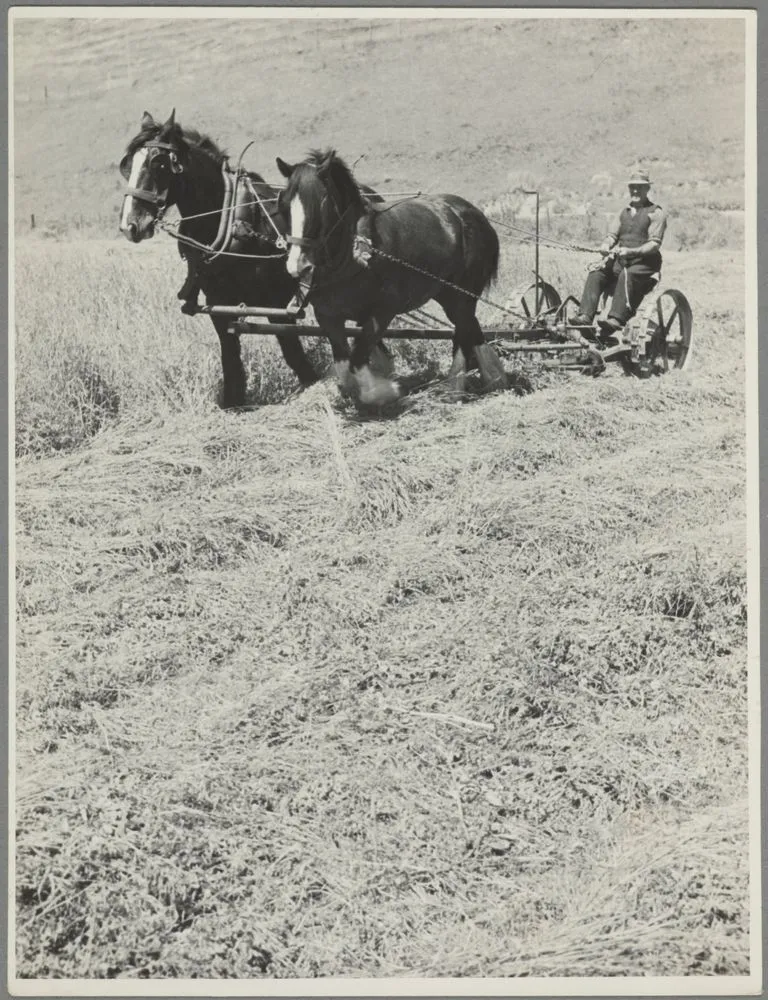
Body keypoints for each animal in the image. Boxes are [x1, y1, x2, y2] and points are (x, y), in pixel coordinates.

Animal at [118, 110, 319, 408]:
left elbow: (293, 352)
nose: (129, 225)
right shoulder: (218, 304)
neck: (233, 221)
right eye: (127, 166)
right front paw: (234, 401)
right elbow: (230, 359)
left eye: (159, 163)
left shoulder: (277, 304)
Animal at [276, 148, 508, 405]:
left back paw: (456, 387)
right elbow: (344, 366)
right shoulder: (328, 317)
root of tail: (474, 214)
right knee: (469, 328)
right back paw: (488, 379)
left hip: (463, 294)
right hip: (448, 295)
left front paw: (386, 390)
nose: (298, 266)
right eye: (283, 205)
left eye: (321, 204)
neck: (353, 255)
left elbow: (358, 361)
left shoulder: (382, 313)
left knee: (464, 331)